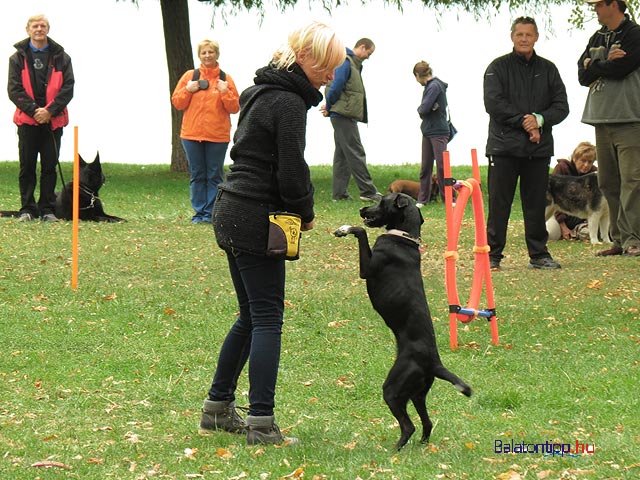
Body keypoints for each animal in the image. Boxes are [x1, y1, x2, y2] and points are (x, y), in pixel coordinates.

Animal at [336, 191, 470, 450]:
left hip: (393, 388)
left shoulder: (367, 267)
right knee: (427, 422)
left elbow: (362, 232)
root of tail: (435, 363)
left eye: (382, 201)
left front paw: (346, 228)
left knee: (409, 426)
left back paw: (395, 449)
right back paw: (421, 445)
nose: (361, 209)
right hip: (417, 393)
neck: (403, 237)